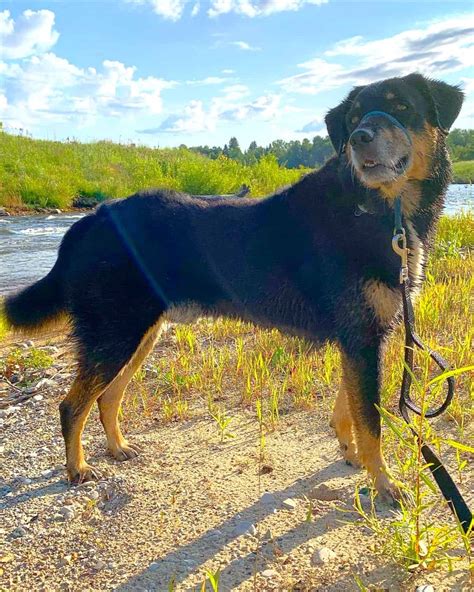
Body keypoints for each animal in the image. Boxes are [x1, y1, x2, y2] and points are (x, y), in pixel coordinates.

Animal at [2, 73, 462, 500]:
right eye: (352, 120)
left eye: (401, 106)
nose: (358, 138)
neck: (378, 210)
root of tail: (91, 219)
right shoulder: (362, 338)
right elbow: (371, 421)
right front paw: (384, 484)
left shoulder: (362, 340)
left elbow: (349, 410)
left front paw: (351, 454)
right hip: (113, 334)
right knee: (72, 405)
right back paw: (77, 468)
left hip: (138, 336)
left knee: (106, 398)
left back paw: (117, 448)